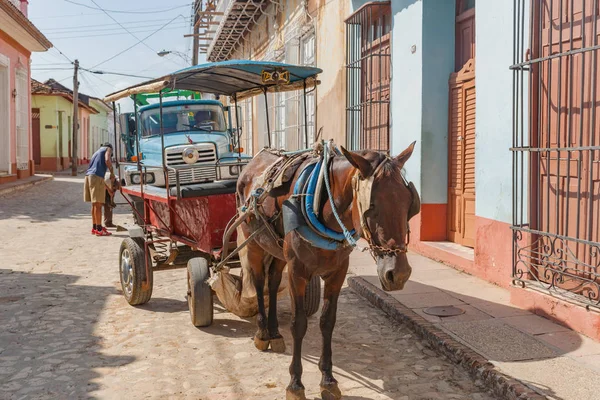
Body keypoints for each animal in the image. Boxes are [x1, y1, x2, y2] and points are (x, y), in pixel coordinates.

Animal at [237, 142, 420, 398]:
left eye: (408, 203)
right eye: (371, 206)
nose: (399, 274)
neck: (321, 209)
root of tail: (252, 164)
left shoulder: (337, 273)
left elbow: (327, 322)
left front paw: (328, 379)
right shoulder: (297, 272)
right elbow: (298, 324)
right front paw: (295, 383)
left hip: (278, 249)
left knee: (272, 281)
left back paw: (274, 332)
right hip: (253, 242)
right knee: (258, 280)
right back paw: (263, 333)